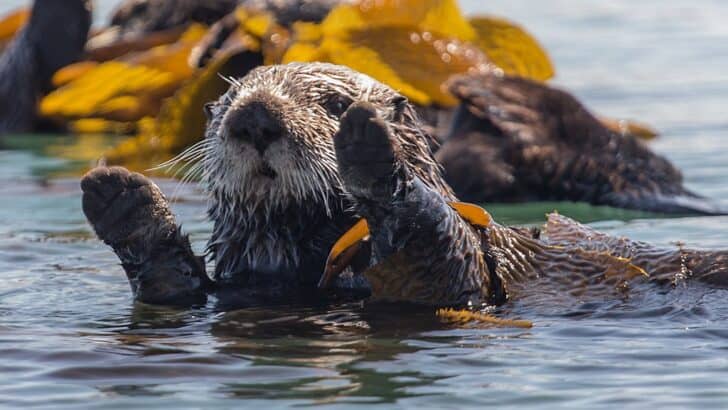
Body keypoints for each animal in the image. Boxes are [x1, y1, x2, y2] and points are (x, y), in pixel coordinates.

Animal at [81, 62, 728, 307]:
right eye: (225, 107)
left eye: (332, 103)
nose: (255, 116)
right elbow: (171, 288)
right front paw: (122, 201)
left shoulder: (468, 275)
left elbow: (443, 260)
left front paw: (369, 146)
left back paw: (502, 95)